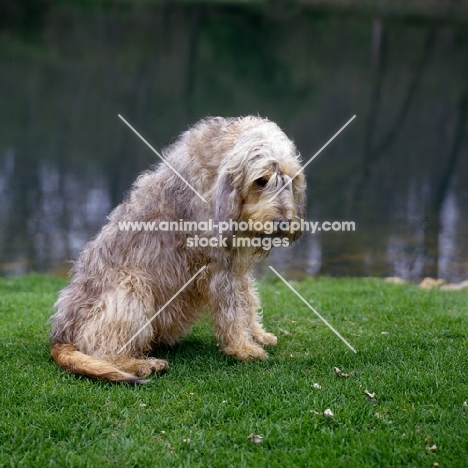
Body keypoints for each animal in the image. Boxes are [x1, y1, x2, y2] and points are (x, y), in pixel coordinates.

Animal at [50, 115, 308, 382]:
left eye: (290, 180)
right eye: (261, 181)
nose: (284, 223)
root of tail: (61, 335)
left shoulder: (235, 266)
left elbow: (247, 299)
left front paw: (257, 334)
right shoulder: (219, 267)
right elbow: (232, 310)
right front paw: (243, 348)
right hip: (133, 285)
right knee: (102, 349)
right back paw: (141, 364)